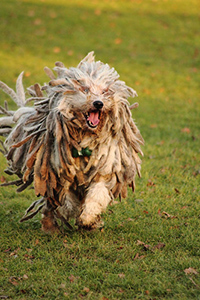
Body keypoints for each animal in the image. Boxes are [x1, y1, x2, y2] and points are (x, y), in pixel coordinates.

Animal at [0, 52, 144, 232]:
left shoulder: (104, 168)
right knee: (49, 205)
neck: (85, 137)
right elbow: (66, 200)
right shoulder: (59, 173)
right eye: (85, 89)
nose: (98, 103)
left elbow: (97, 194)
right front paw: (73, 211)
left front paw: (88, 218)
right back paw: (50, 226)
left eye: (105, 91)